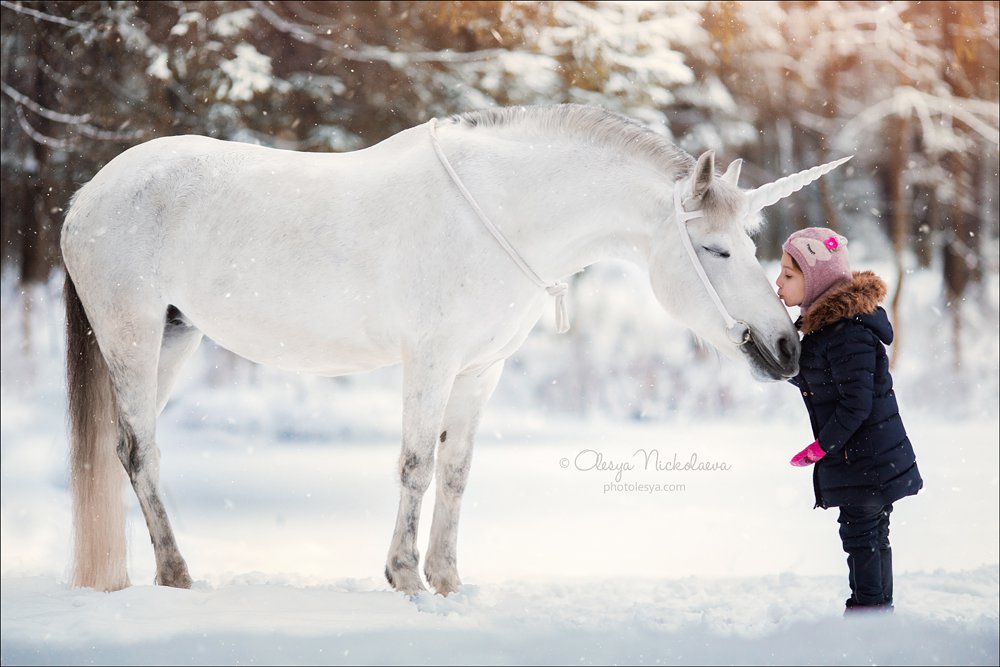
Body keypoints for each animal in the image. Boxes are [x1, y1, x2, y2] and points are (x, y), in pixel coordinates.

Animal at [60, 103, 844, 596]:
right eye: (715, 249)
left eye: (749, 242)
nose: (784, 346)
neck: (500, 216)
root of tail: (88, 194)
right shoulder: (430, 363)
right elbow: (416, 465)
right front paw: (404, 576)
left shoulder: (479, 370)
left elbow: (458, 471)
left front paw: (446, 578)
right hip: (133, 336)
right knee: (140, 451)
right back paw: (175, 572)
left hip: (174, 338)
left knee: (129, 448)